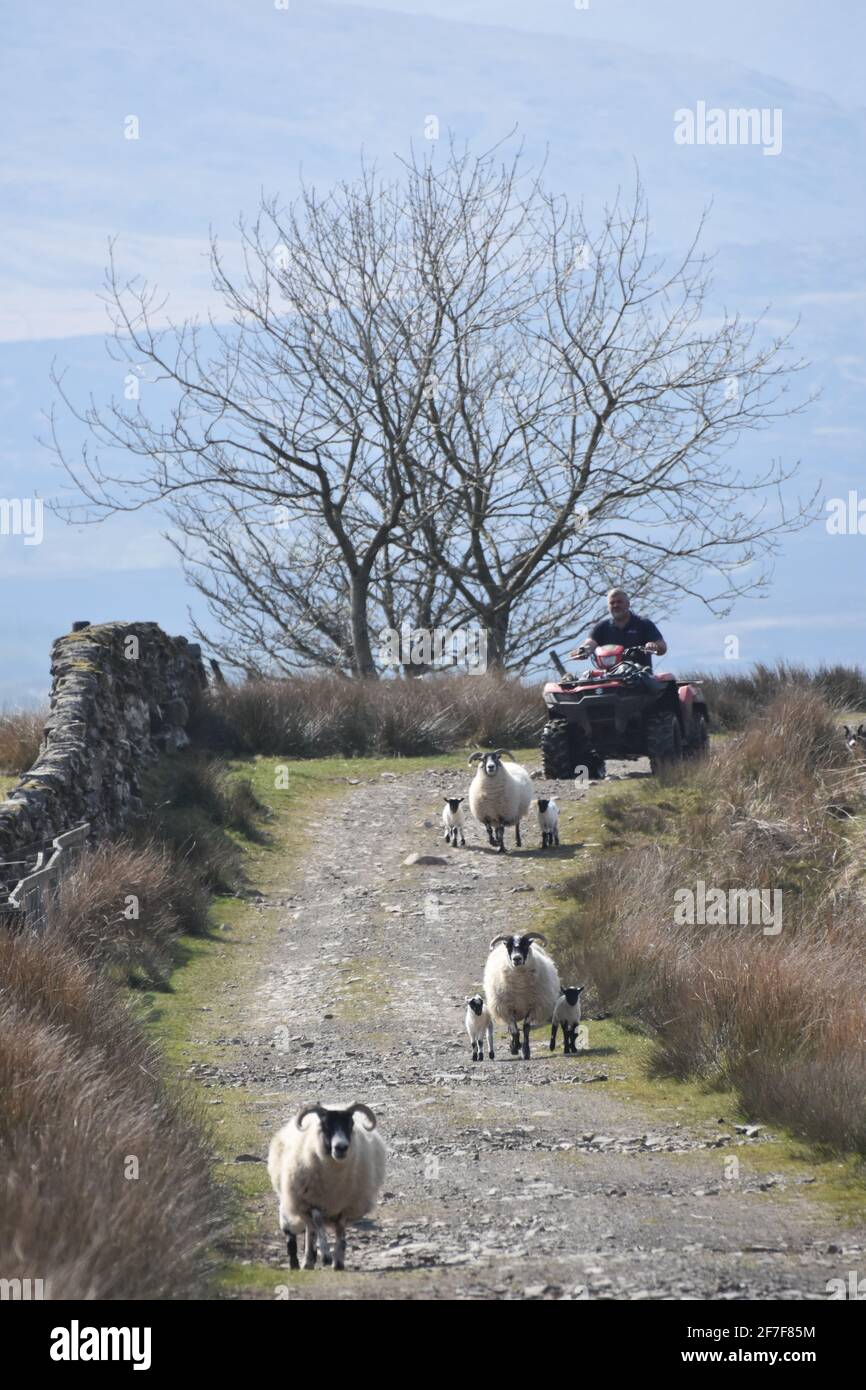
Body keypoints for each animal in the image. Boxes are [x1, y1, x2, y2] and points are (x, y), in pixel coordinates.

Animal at [265, 1100, 383, 1273]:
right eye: (325, 1125)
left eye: (351, 1123)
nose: (341, 1147)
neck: (334, 1182)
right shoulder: (310, 1202)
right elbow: (318, 1222)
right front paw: (326, 1256)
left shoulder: (345, 1206)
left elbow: (340, 1230)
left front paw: (338, 1260)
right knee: (306, 1230)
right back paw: (304, 1262)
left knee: (310, 1230)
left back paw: (310, 1260)